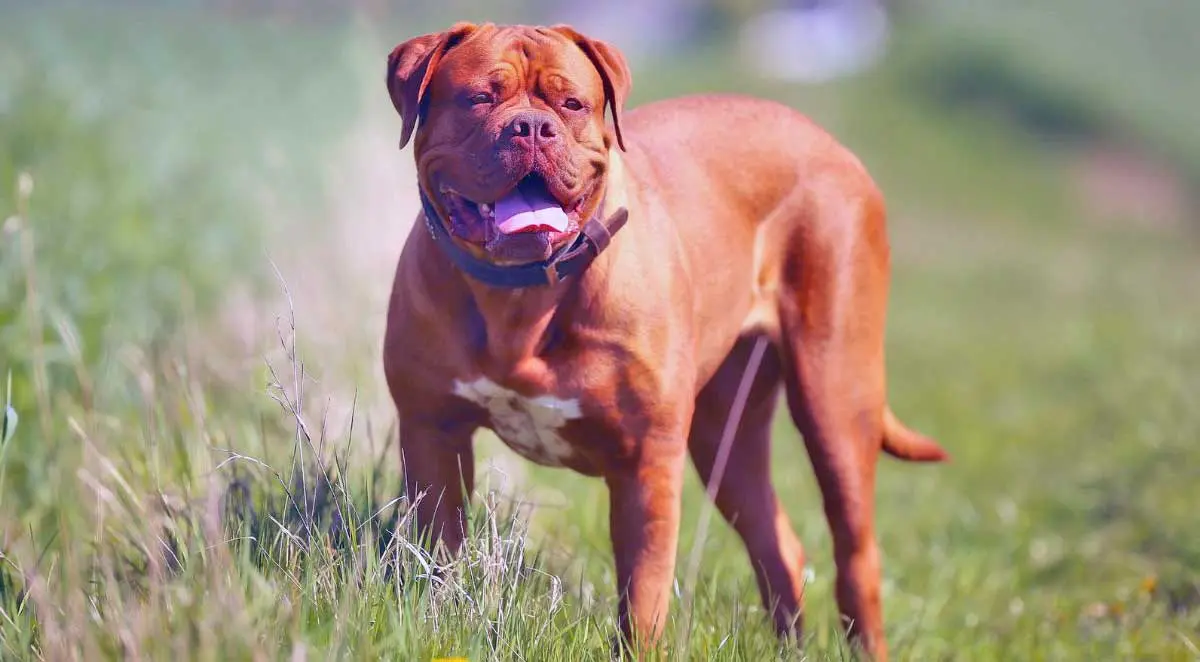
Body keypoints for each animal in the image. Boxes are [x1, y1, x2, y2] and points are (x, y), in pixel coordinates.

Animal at [384, 19, 945, 657]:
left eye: (571, 104)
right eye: (480, 97)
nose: (532, 126)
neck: (521, 293)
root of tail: (831, 143)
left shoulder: (646, 462)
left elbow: (643, 593)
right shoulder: (433, 432)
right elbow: (436, 556)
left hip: (836, 400)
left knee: (856, 556)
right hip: (725, 434)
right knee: (776, 543)